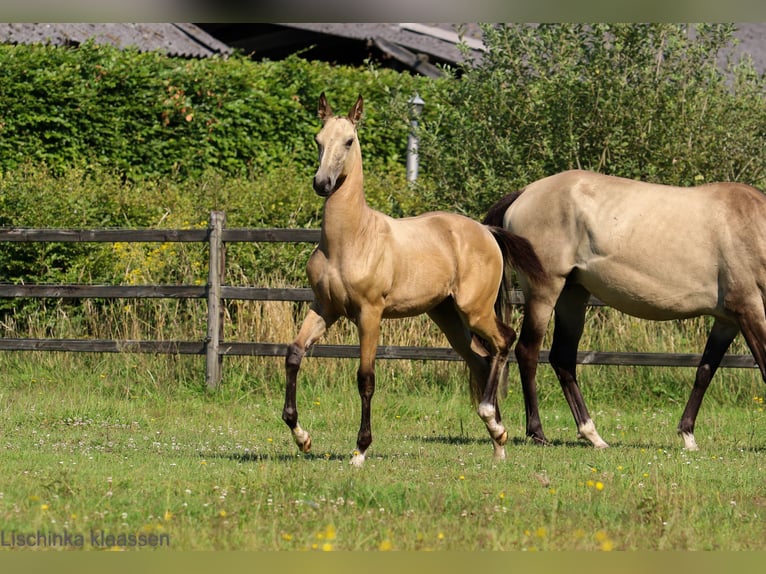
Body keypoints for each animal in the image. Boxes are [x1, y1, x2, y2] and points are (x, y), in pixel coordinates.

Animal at [284, 92, 544, 466]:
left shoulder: (369, 314)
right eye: (318, 140)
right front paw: (302, 437)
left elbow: (365, 379)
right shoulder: (325, 308)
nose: (322, 184)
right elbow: (293, 354)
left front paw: (360, 450)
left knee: (503, 341)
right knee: (480, 360)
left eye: (348, 141)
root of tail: (486, 231)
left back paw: (493, 423)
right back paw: (498, 440)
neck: (351, 239)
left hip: (474, 310)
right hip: (449, 318)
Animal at [486, 169, 766, 452]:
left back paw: (592, 435)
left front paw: (687, 435)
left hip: (572, 295)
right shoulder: (748, 309)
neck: (752, 227)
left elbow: (705, 371)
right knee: (528, 352)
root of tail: (523, 193)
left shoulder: (727, 320)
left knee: (562, 358)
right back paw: (538, 433)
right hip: (544, 292)